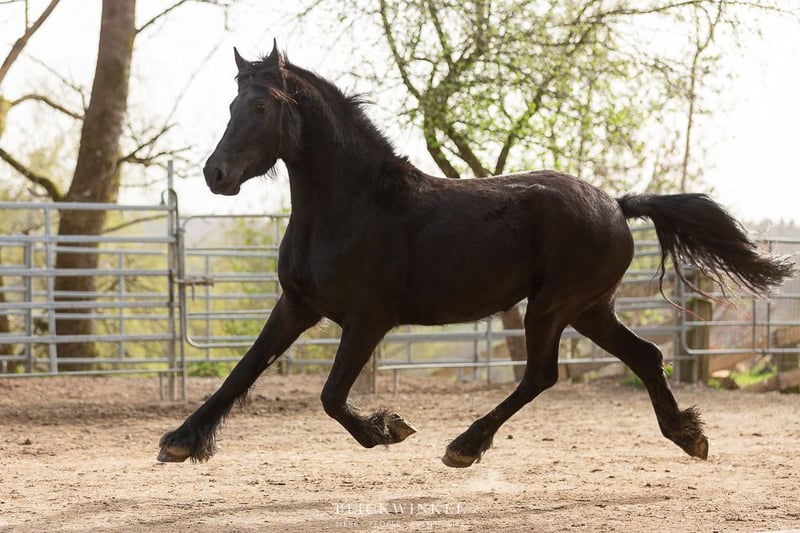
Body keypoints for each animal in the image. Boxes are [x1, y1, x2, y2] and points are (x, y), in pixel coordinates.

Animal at [158, 41, 794, 468]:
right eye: (233, 105)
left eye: (263, 107)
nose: (216, 175)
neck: (353, 204)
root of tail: (615, 203)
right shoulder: (297, 306)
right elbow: (243, 370)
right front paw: (179, 442)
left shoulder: (367, 320)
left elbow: (332, 396)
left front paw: (388, 429)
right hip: (588, 310)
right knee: (644, 356)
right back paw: (688, 436)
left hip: (552, 307)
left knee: (542, 374)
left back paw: (464, 445)